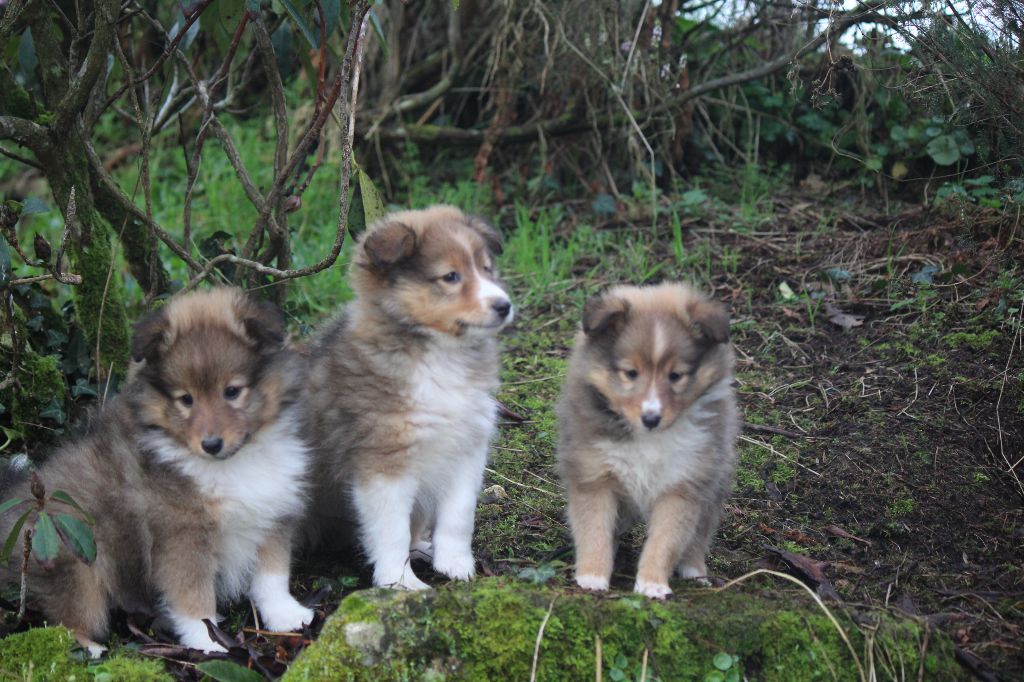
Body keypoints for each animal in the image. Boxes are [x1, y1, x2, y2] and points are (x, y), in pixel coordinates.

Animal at [0, 286, 311, 655]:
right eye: (186, 399)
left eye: (232, 391)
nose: (211, 444)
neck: (231, 465)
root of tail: (16, 500)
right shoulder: (181, 535)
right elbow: (193, 597)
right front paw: (207, 643)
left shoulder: (273, 512)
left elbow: (272, 576)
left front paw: (287, 616)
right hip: (73, 556)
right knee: (69, 620)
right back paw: (92, 650)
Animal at [301, 202, 512, 589]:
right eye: (450, 277)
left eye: (486, 269)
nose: (504, 306)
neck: (440, 357)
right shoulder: (384, 462)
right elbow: (391, 530)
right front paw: (401, 584)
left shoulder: (467, 449)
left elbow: (459, 515)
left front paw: (456, 565)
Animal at [557, 280, 741, 593]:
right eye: (631, 373)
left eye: (676, 375)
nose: (651, 418)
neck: (649, 439)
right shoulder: (594, 476)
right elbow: (594, 530)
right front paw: (592, 576)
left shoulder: (683, 484)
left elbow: (665, 541)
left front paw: (652, 584)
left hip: (713, 480)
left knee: (700, 533)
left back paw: (695, 571)